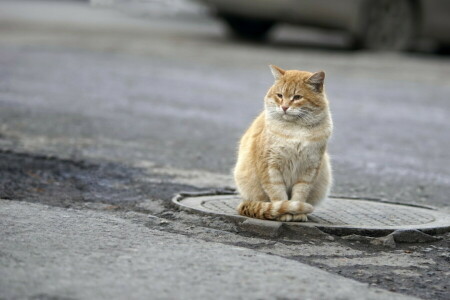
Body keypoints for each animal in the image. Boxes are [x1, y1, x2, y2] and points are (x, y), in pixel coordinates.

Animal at [234, 64, 332, 221]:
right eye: (280, 95)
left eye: (297, 97)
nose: (284, 107)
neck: (295, 130)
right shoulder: (270, 167)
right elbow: (278, 195)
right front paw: (285, 213)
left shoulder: (309, 169)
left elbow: (299, 194)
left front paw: (299, 214)